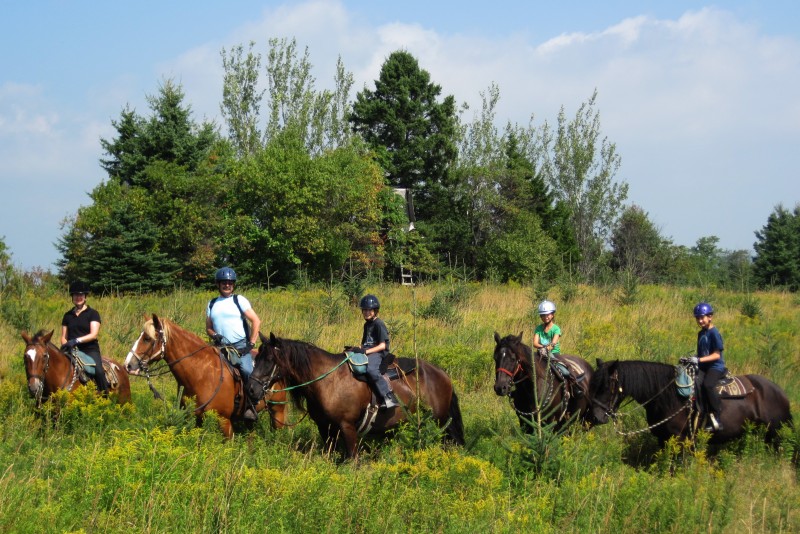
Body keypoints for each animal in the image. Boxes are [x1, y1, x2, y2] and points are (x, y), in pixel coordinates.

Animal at [123, 316, 286, 438]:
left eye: (147, 338)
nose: (128, 365)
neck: (202, 375)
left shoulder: (224, 421)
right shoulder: (197, 420)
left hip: (278, 409)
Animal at [247, 336, 466, 460]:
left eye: (269, 359)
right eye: (256, 358)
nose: (251, 389)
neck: (328, 380)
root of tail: (442, 374)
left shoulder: (347, 426)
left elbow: (353, 460)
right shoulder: (325, 428)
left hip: (439, 423)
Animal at [588, 360, 792, 448]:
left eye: (606, 386)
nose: (595, 417)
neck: (667, 396)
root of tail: (781, 392)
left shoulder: (679, 439)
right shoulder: (663, 439)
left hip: (775, 434)